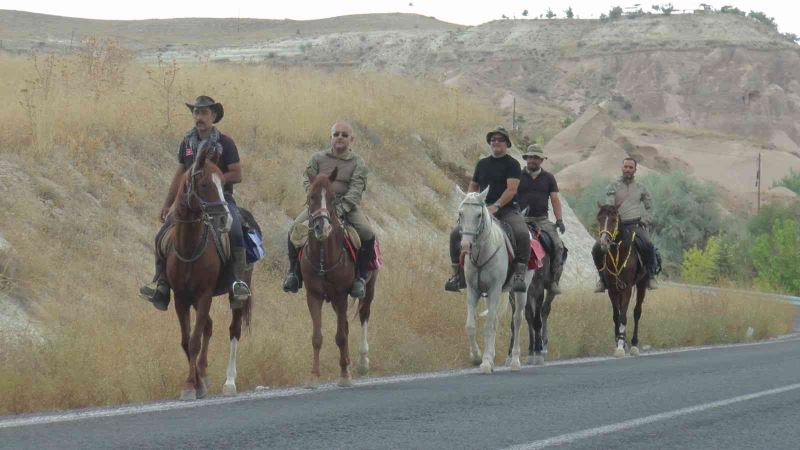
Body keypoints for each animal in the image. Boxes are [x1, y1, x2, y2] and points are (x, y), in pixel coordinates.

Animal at [167, 142, 255, 400]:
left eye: (222, 183)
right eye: (204, 184)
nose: (224, 219)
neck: (190, 247)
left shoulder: (204, 295)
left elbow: (195, 340)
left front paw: (190, 385)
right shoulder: (181, 298)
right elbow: (187, 341)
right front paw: (196, 383)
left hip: (238, 294)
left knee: (233, 330)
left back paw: (229, 382)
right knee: (209, 326)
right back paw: (204, 374)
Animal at [304, 168, 378, 386]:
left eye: (332, 198)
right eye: (311, 196)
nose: (322, 228)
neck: (323, 257)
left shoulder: (341, 294)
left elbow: (341, 337)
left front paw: (344, 375)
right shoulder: (314, 295)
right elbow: (317, 337)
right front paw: (314, 376)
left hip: (368, 290)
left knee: (363, 316)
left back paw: (362, 363)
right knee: (344, 324)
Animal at [456, 186, 532, 372]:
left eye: (479, 215)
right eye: (461, 213)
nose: (466, 246)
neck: (482, 253)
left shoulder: (494, 289)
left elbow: (489, 325)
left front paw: (485, 362)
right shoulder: (473, 290)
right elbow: (470, 325)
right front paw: (477, 357)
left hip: (521, 291)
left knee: (517, 319)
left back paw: (515, 361)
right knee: (497, 318)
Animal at [592, 205, 648, 358]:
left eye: (613, 220)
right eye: (599, 219)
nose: (603, 243)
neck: (618, 253)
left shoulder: (627, 288)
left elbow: (623, 316)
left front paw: (621, 346)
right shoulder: (612, 289)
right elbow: (616, 316)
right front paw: (619, 341)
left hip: (641, 285)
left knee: (637, 312)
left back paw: (634, 344)